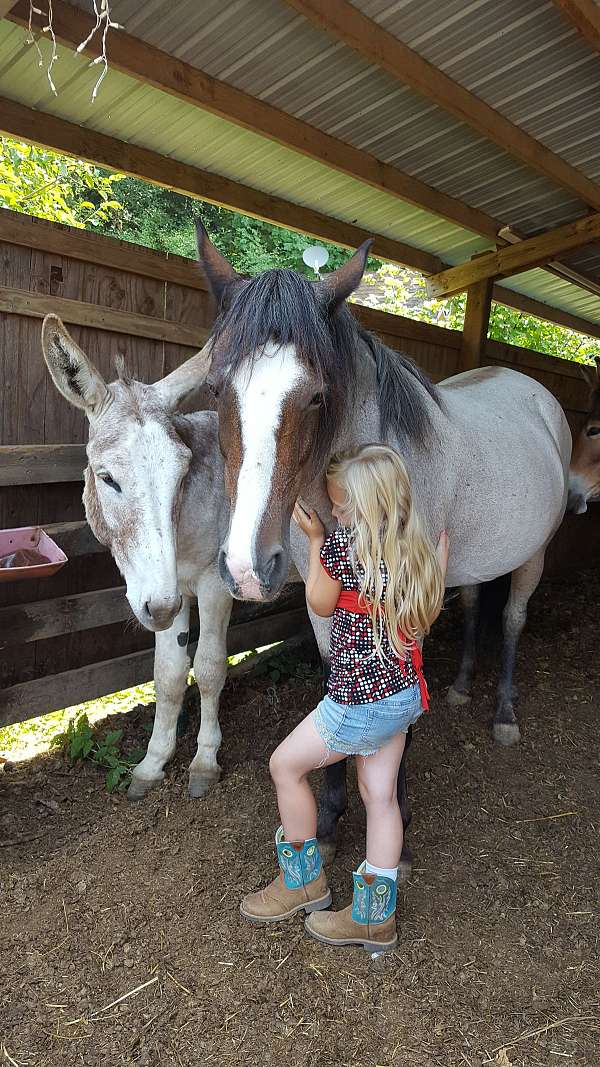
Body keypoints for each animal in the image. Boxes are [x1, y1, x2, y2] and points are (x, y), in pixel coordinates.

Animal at [164, 224, 570, 860]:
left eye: (316, 396)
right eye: (216, 389)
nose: (248, 567)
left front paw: (394, 822)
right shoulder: (324, 605)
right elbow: (338, 683)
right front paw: (330, 819)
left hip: (535, 554)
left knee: (512, 621)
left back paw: (503, 713)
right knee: (478, 608)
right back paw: (460, 688)